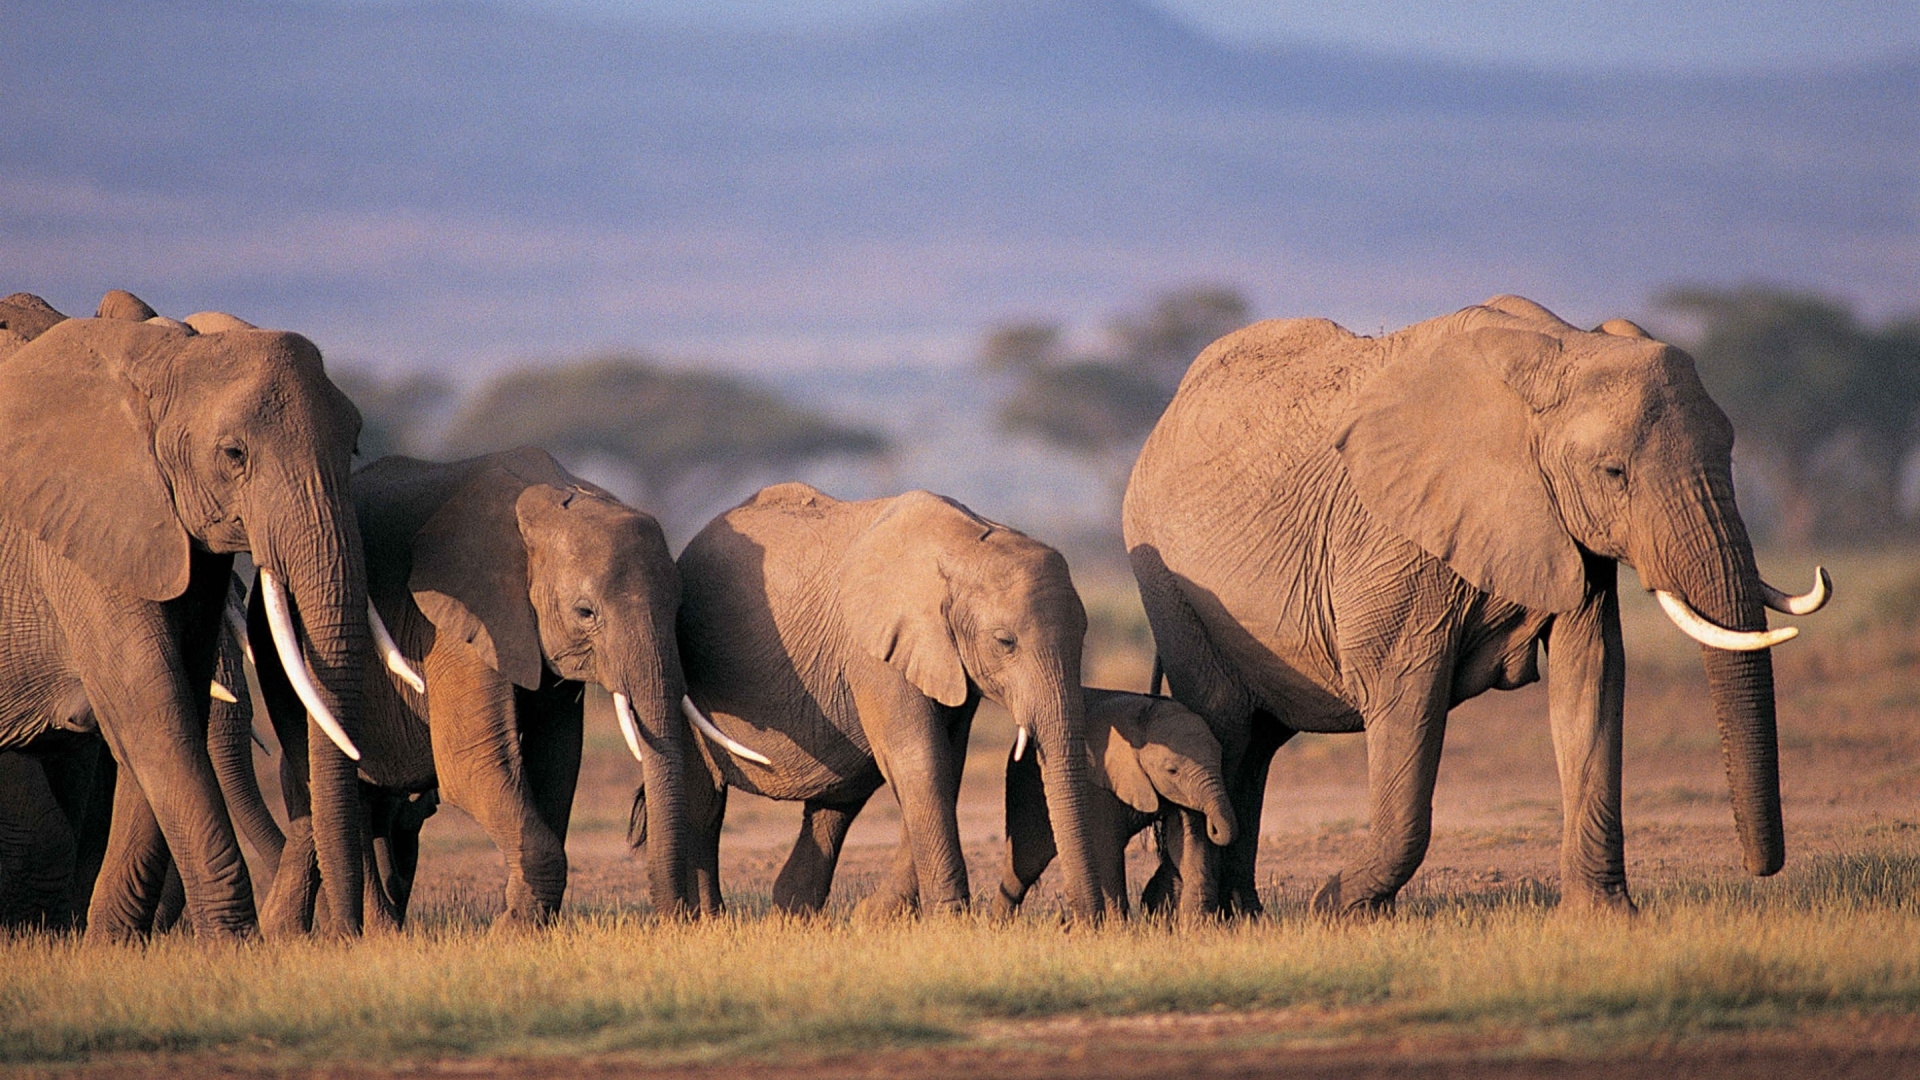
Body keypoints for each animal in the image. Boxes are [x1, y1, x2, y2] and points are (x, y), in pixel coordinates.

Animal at [0, 288, 372, 933]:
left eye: (352, 444)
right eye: (234, 454)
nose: (345, 935)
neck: (158, 357)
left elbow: (174, 707)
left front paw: (109, 944)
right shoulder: (77, 530)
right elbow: (149, 704)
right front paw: (233, 945)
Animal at [251, 445, 695, 926]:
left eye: (678, 607)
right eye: (585, 612)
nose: (674, 917)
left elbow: (557, 760)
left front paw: (523, 919)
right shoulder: (459, 621)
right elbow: (473, 765)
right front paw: (510, 930)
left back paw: (286, 932)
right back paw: (371, 931)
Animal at [641, 484, 1098, 910]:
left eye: (1084, 635)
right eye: (1005, 642)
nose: (1084, 918)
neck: (967, 544)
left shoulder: (947, 658)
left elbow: (946, 763)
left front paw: (877, 917)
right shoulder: (875, 653)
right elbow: (919, 758)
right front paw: (948, 918)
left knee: (836, 804)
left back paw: (792, 914)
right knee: (704, 804)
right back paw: (710, 918)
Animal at [990, 684, 1228, 922]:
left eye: (1220, 758)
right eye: (1172, 770)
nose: (1214, 827)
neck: (1144, 717)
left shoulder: (1183, 792)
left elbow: (1187, 840)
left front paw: (1197, 925)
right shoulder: (1097, 783)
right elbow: (1106, 847)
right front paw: (1118, 928)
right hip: (1026, 783)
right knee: (1028, 858)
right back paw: (999, 924)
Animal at [1121, 295, 1827, 914]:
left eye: (1730, 452)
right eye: (1613, 474)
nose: (1759, 868)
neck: (1563, 349)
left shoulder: (1566, 535)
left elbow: (1592, 680)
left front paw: (1606, 918)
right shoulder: (1395, 540)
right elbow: (1406, 693)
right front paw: (1338, 909)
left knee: (1258, 746)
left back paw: (1241, 914)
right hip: (1171, 586)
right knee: (1227, 726)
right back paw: (1197, 914)